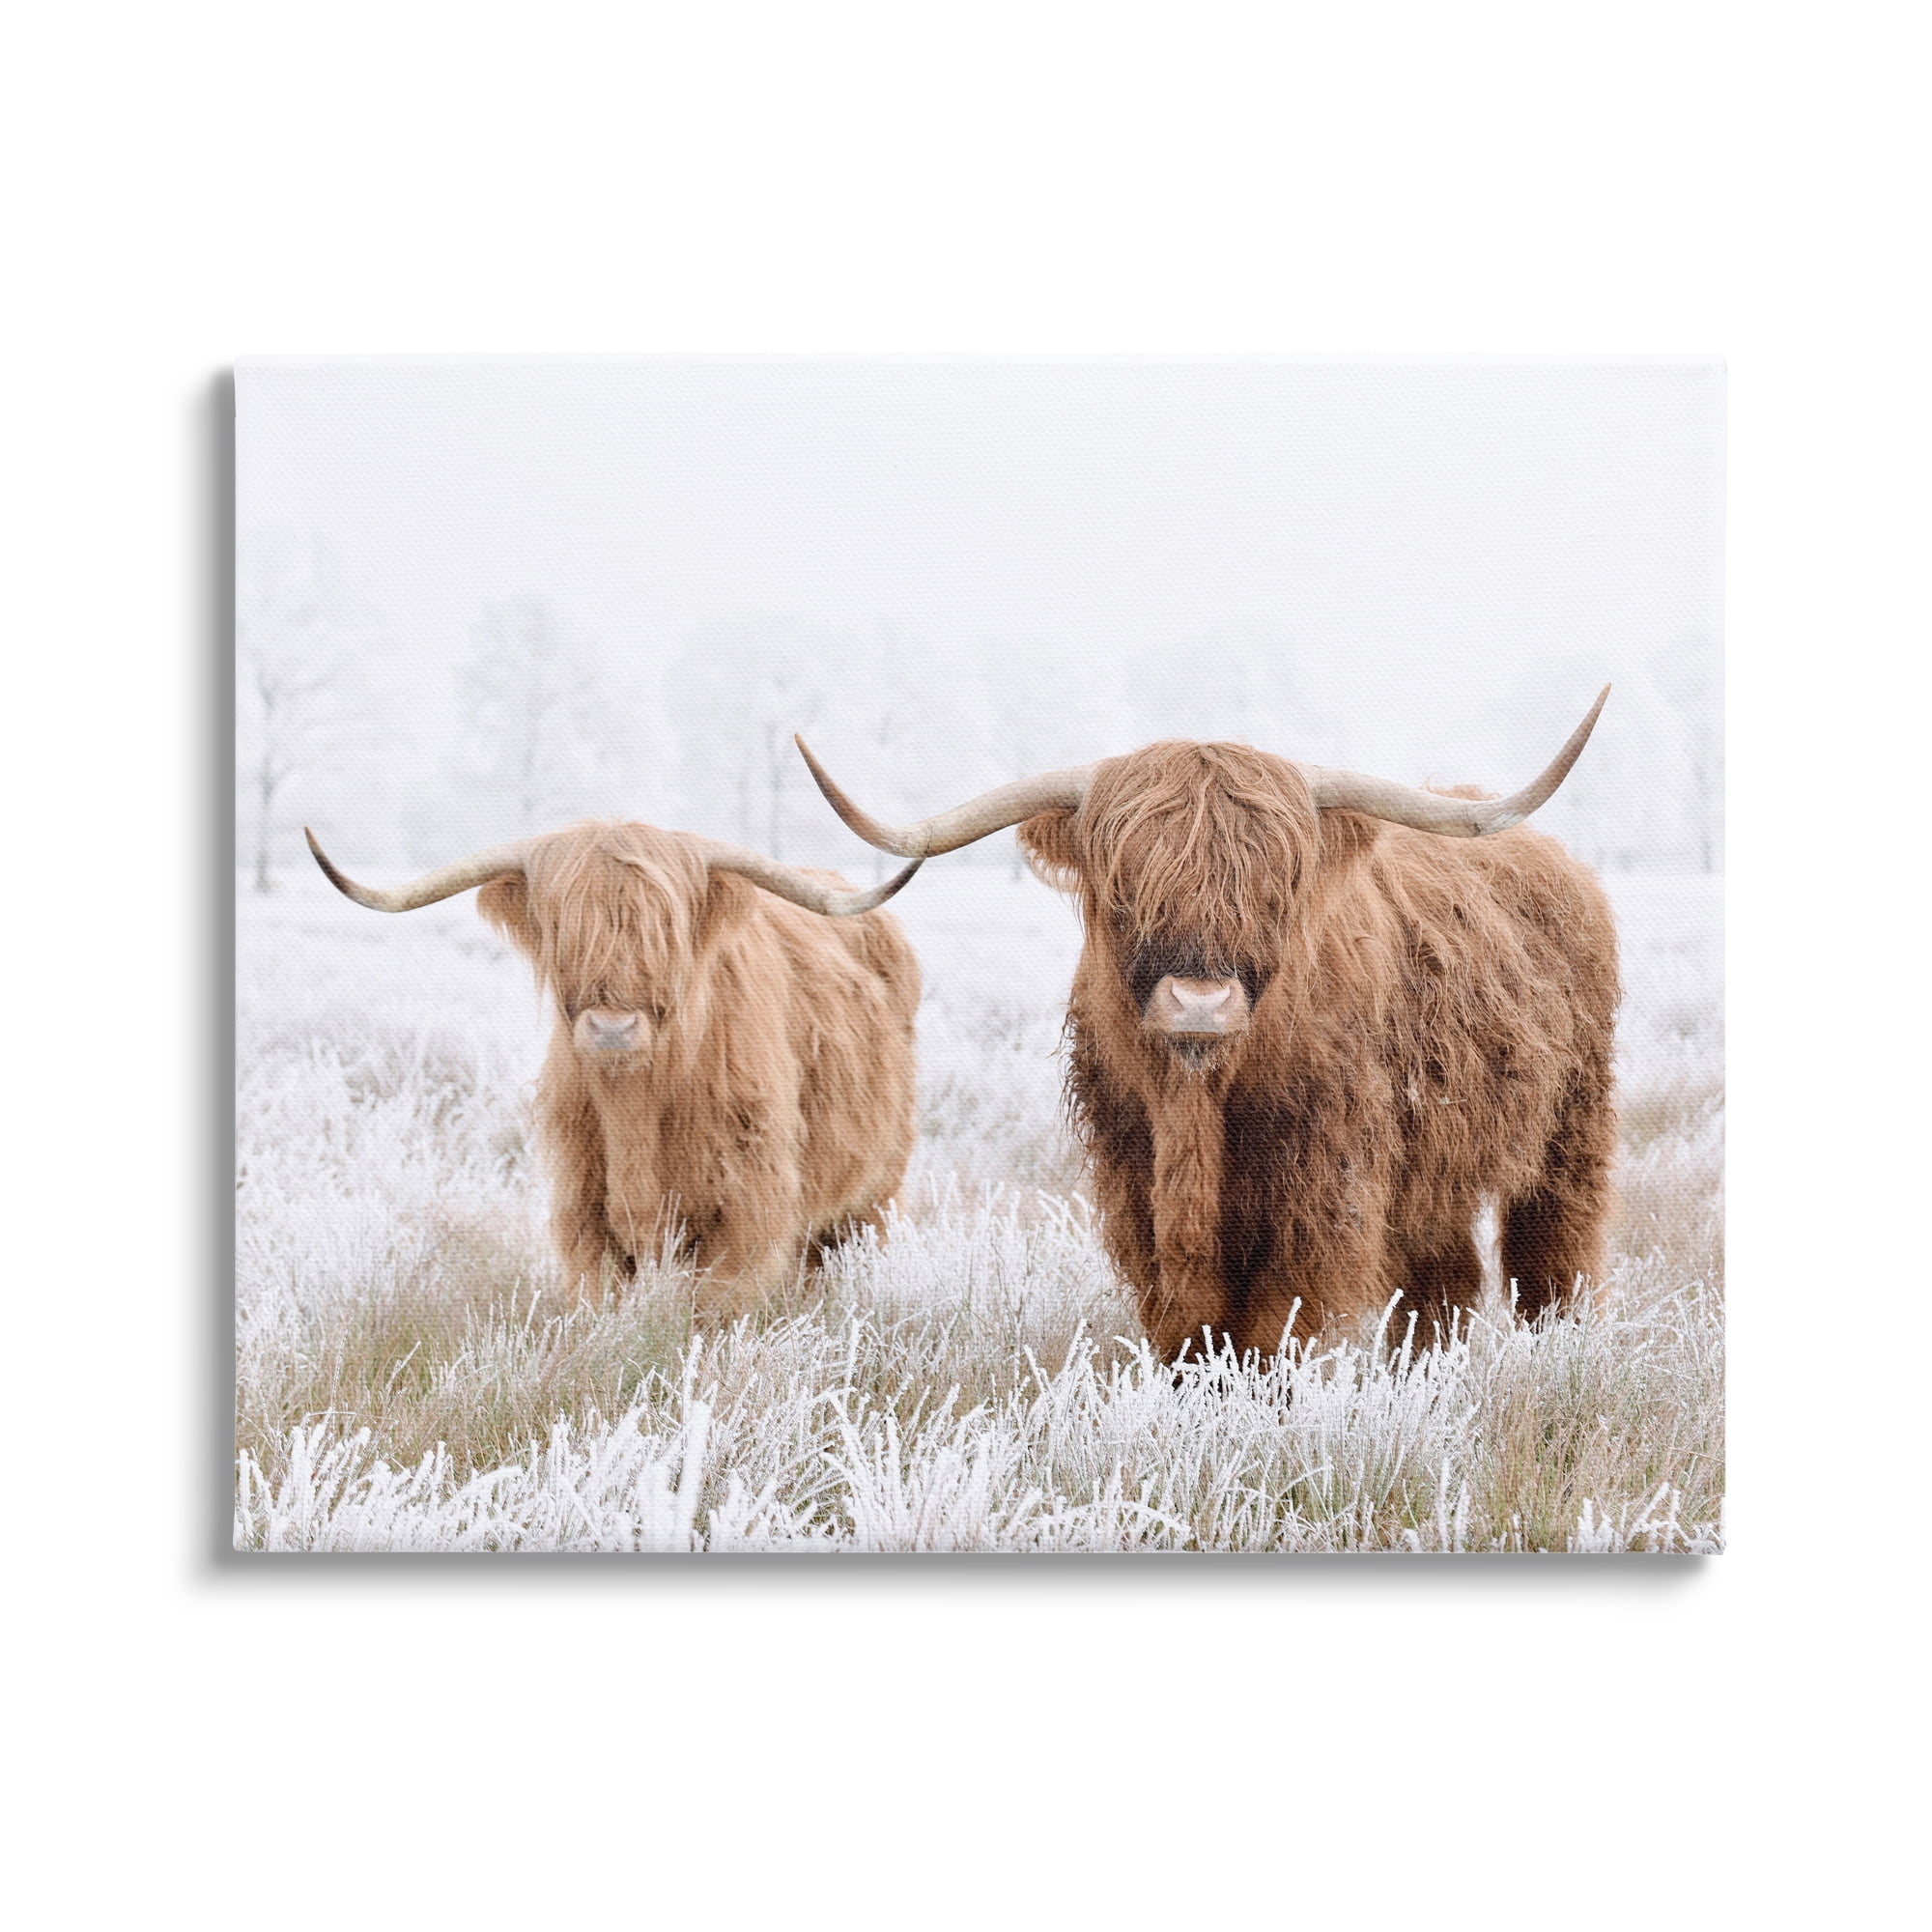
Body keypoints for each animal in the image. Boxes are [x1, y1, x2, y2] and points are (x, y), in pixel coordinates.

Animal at [307, 821, 923, 1317]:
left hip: (872, 1195)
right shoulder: (583, 1213)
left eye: (665, 931)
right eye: (563, 929)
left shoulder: (748, 1212)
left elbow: (716, 1310)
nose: (611, 1028)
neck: (636, 1108)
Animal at [793, 691, 1618, 1360]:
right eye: (1125, 888)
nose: (1199, 1003)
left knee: (1552, 1257)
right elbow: (1188, 1330)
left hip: (1571, 1129)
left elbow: (1274, 1332)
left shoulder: (1324, 1192)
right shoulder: (1136, 1184)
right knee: (1443, 1283)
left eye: (1276, 888)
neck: (1198, 1102)